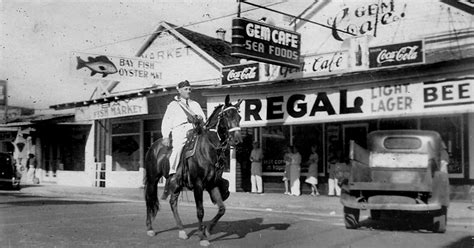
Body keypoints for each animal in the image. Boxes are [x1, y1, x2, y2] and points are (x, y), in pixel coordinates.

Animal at [143, 95, 243, 246]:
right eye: (226, 115)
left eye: (239, 116)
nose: (237, 140)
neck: (208, 149)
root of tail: (153, 146)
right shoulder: (198, 184)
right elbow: (200, 211)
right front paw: (202, 237)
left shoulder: (212, 184)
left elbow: (222, 208)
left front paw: (207, 230)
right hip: (153, 179)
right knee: (150, 199)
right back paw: (149, 228)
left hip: (176, 184)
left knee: (173, 203)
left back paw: (182, 231)